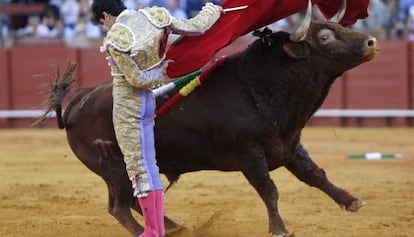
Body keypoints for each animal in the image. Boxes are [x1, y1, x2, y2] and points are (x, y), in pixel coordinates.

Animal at [38, 2, 378, 237]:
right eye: (325, 36)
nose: (371, 42)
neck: (261, 84)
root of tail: (77, 103)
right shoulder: (249, 154)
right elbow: (269, 190)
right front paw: (279, 228)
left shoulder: (289, 144)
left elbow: (315, 175)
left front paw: (351, 201)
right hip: (115, 168)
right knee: (120, 206)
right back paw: (151, 231)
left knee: (137, 199)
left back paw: (173, 226)